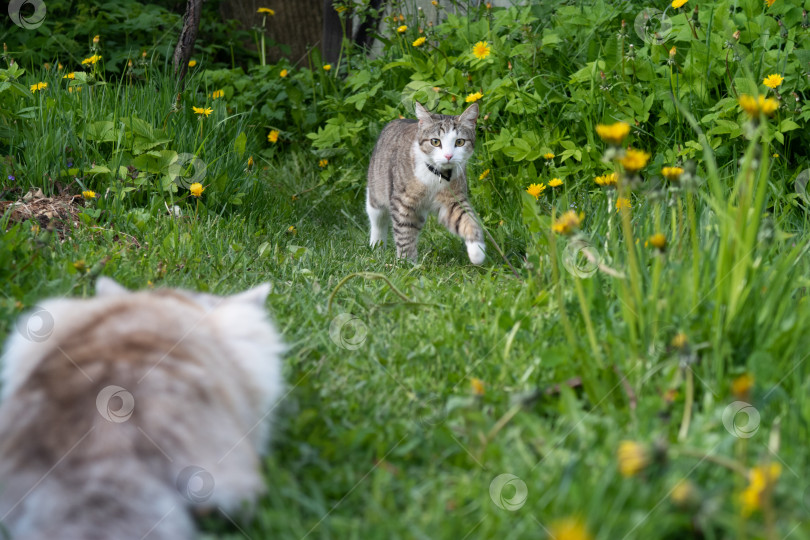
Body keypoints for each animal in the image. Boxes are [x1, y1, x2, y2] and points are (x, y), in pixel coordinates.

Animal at [368, 102, 486, 264]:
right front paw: (407, 263)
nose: (448, 156)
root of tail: (396, 121)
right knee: (378, 218)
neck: (436, 175)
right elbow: (404, 233)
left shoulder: (452, 200)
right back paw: (377, 246)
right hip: (376, 188)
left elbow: (466, 219)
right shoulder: (402, 203)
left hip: (419, 213)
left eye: (460, 142)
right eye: (435, 142)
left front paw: (477, 251)